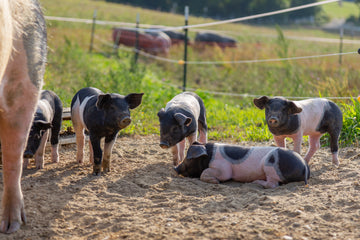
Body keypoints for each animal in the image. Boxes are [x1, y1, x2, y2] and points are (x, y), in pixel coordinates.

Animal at [175, 142, 310, 188]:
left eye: (188, 159)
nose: (175, 168)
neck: (209, 155)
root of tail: (303, 164)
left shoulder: (223, 168)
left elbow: (207, 172)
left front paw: (216, 182)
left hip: (271, 168)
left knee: (272, 184)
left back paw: (255, 182)